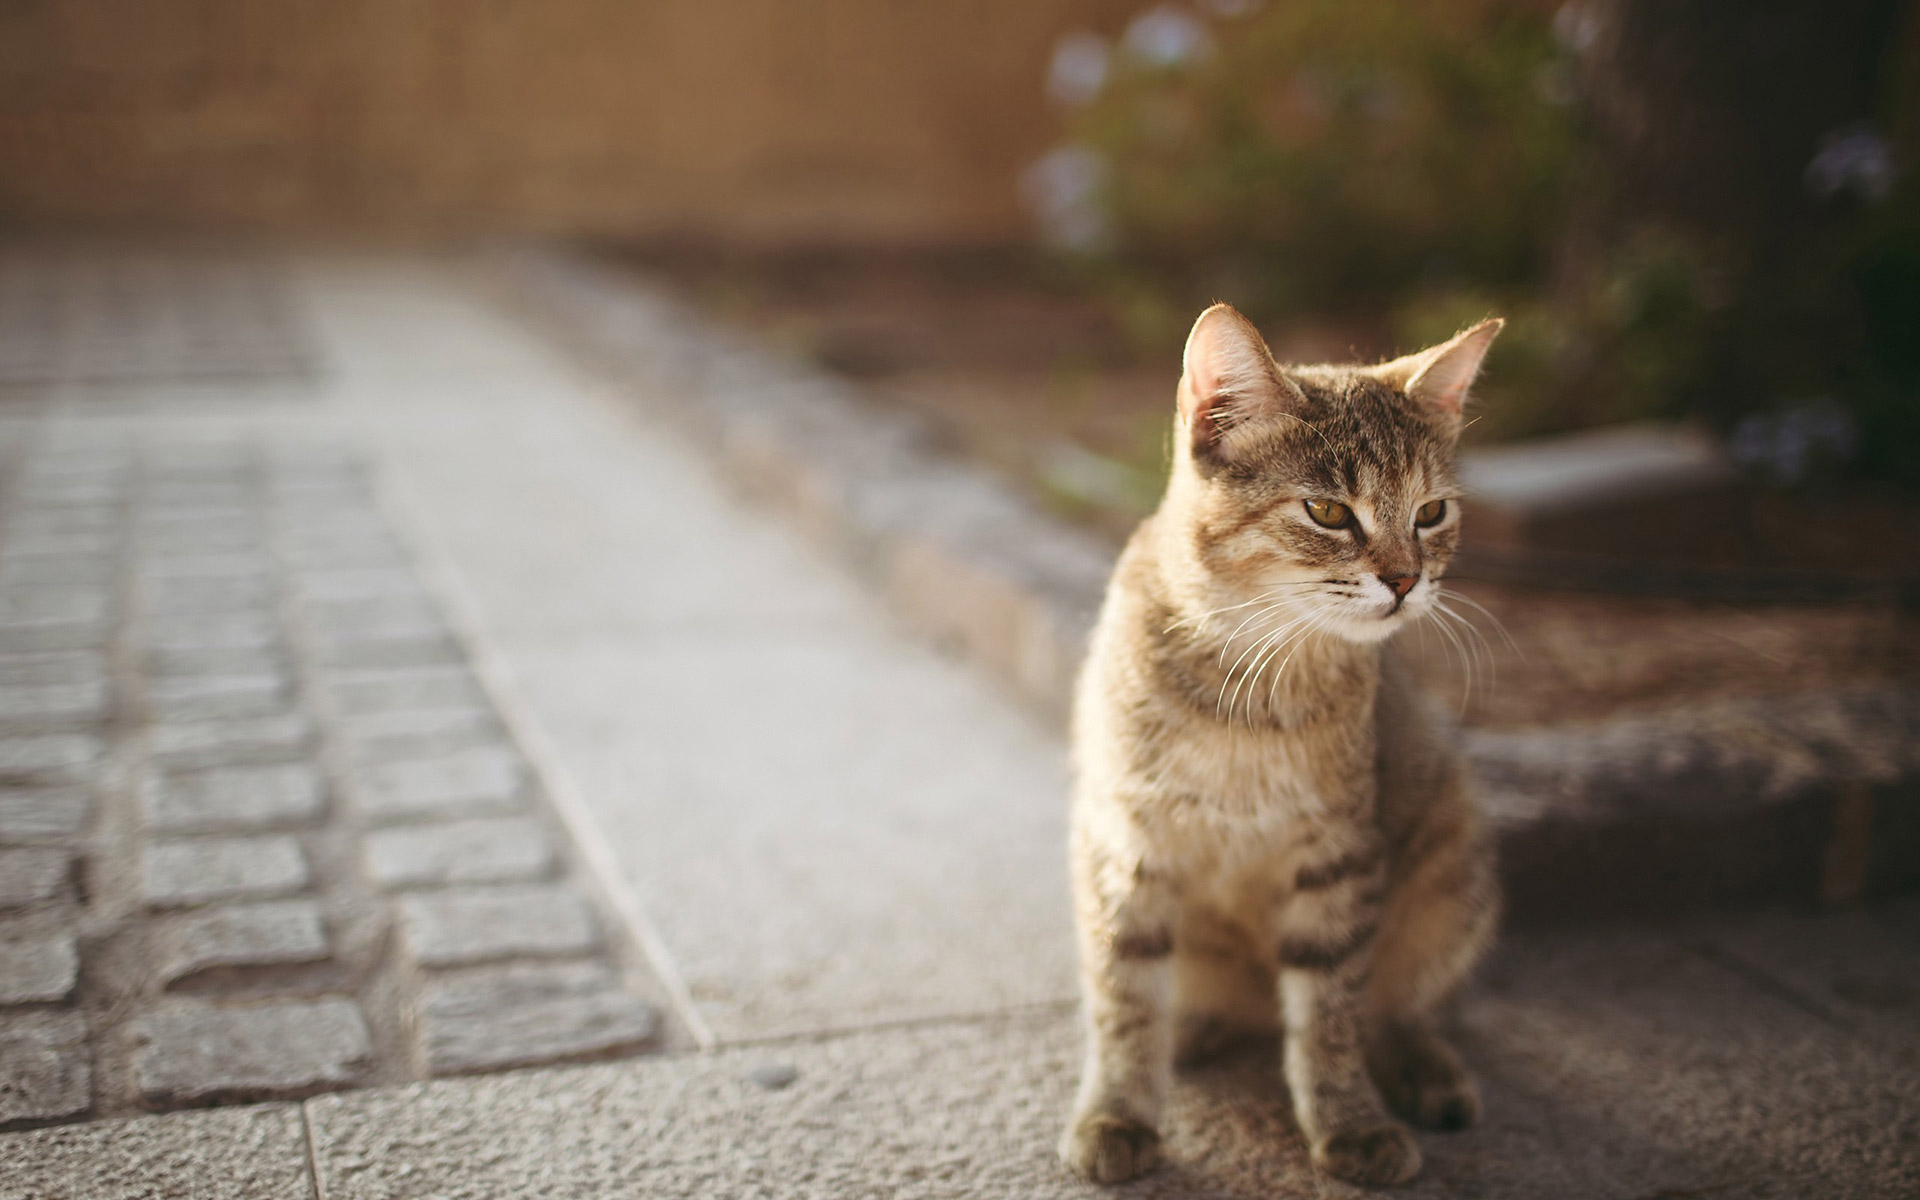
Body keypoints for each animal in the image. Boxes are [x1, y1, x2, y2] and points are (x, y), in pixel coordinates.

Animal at [1067, 303, 1497, 1182]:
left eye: (1430, 513)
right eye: (1328, 512)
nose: (1405, 580)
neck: (1249, 692)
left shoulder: (1338, 858)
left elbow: (1330, 1014)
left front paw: (1349, 1120)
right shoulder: (1123, 847)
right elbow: (1124, 998)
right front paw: (1117, 1111)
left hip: (1453, 853)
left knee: (1401, 1004)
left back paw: (1425, 1068)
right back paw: (1193, 1031)